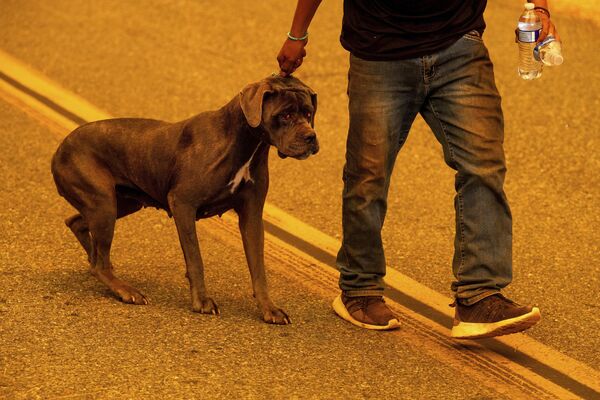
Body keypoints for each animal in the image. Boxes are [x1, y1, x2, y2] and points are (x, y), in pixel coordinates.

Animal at [51, 75, 318, 324]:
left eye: (308, 112)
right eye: (285, 115)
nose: (311, 137)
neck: (244, 142)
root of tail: (60, 148)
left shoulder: (251, 216)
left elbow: (259, 268)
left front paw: (269, 309)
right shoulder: (183, 204)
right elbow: (196, 258)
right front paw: (202, 302)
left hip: (121, 203)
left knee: (78, 226)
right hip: (104, 205)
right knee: (99, 262)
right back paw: (125, 290)